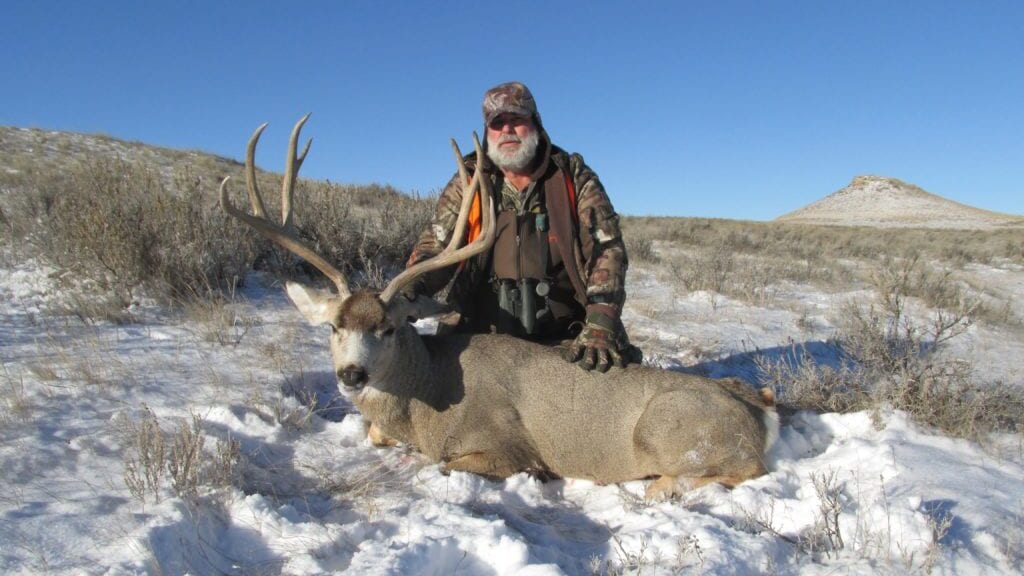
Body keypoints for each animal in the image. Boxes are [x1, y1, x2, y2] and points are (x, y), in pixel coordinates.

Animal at [219, 115, 779, 501]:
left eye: (390, 327)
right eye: (334, 326)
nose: (352, 374)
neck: (427, 394)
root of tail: (761, 408)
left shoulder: (503, 444)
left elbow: (448, 464)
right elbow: (375, 434)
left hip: (663, 427)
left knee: (747, 469)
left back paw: (661, 486)